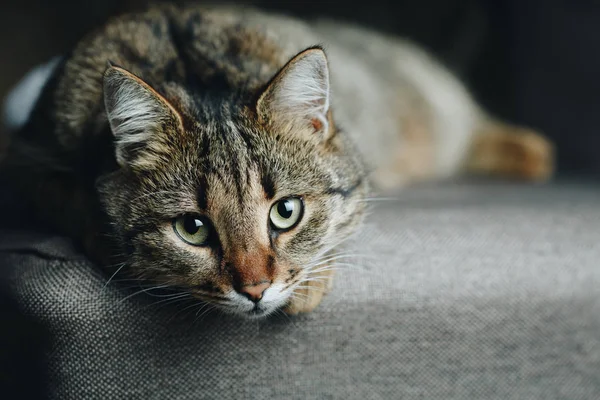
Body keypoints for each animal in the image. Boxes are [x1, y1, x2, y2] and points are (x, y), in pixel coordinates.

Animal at [0, 3, 552, 318]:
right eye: (192, 228)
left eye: (286, 212)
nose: (256, 290)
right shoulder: (28, 161)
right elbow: (74, 201)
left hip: (430, 102)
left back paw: (531, 153)